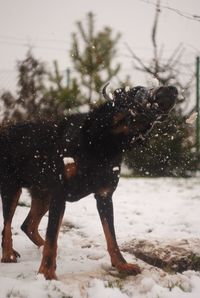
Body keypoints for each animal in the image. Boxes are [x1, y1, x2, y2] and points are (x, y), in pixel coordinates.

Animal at [0, 83, 177, 280]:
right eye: (138, 90)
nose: (173, 89)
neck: (103, 143)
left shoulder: (104, 196)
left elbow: (111, 237)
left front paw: (122, 265)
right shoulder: (60, 193)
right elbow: (52, 235)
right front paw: (46, 273)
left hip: (43, 194)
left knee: (27, 225)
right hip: (12, 189)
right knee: (7, 226)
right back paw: (8, 255)